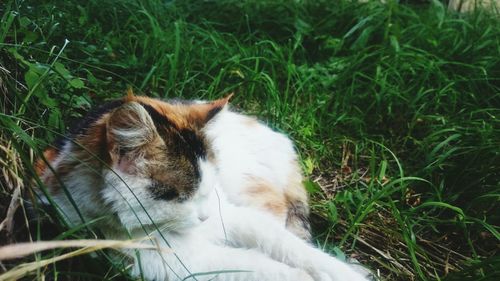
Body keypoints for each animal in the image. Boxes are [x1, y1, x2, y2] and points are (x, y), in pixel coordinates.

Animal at [36, 93, 368, 278]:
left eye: (207, 188)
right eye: (181, 197)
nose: (206, 216)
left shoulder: (234, 215)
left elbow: (291, 248)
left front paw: (344, 274)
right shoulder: (176, 265)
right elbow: (261, 266)